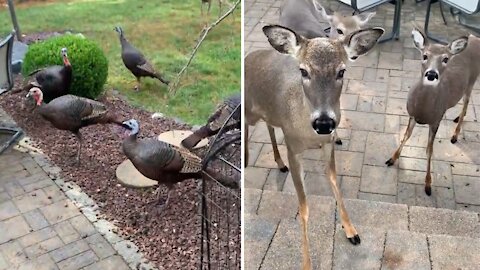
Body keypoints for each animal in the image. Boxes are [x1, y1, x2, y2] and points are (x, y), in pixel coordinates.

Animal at [246, 22, 384, 268]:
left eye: (341, 71)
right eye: (303, 71)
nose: (324, 123)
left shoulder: (328, 146)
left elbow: (334, 182)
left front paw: (351, 231)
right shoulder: (293, 148)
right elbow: (304, 207)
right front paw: (306, 263)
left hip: (271, 114)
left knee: (269, 126)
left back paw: (278, 162)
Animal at [386, 25, 480, 196]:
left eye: (446, 59)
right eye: (424, 55)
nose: (431, 74)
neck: (424, 110)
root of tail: (475, 38)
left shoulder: (436, 120)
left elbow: (429, 150)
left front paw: (428, 184)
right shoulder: (412, 115)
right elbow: (405, 136)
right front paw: (392, 159)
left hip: (472, 80)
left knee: (466, 102)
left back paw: (455, 134)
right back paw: (456, 119)